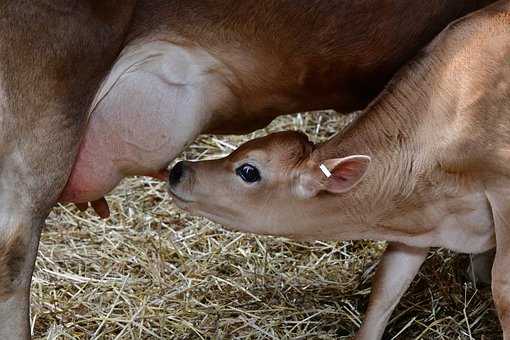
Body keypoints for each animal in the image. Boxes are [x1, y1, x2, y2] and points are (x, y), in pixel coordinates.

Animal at [167, 1, 510, 338]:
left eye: (249, 171)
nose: (179, 171)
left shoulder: (502, 190)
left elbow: (502, 287)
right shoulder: (414, 216)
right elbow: (386, 285)